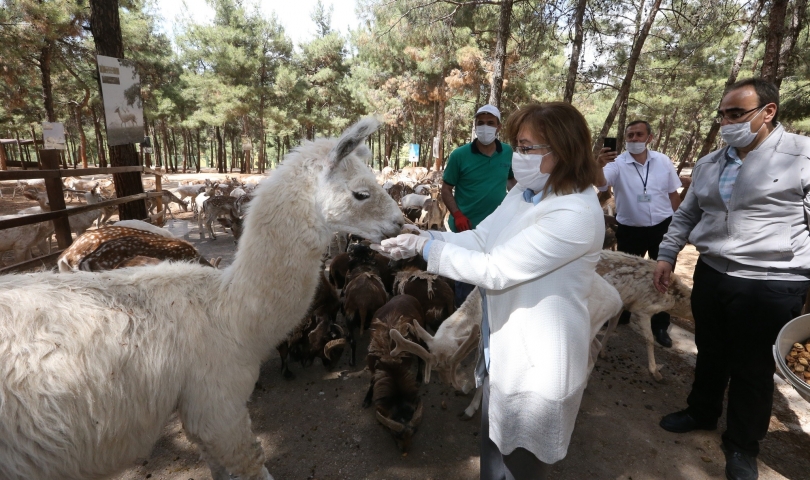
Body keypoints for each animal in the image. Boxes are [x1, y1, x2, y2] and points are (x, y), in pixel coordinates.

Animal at [0, 117, 402, 480]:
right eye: (362, 193)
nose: (400, 223)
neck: (227, 312)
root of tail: (67, 256)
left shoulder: (199, 409)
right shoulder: (217, 405)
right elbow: (250, 464)